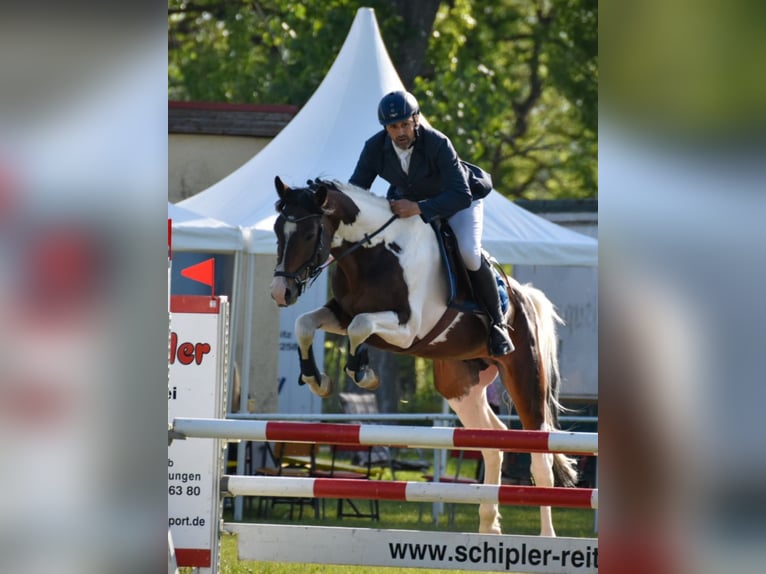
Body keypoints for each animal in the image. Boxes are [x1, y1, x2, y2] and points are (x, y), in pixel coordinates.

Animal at [270, 178, 576, 536]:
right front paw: (318, 379)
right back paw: (489, 528)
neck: (374, 252)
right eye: (277, 230)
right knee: (492, 442)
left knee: (540, 456)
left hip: (525, 376)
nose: (280, 293)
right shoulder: (341, 314)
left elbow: (361, 326)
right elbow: (306, 324)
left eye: (308, 234)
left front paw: (363, 372)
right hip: (460, 387)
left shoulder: (407, 329)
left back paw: (547, 536)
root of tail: (522, 295)